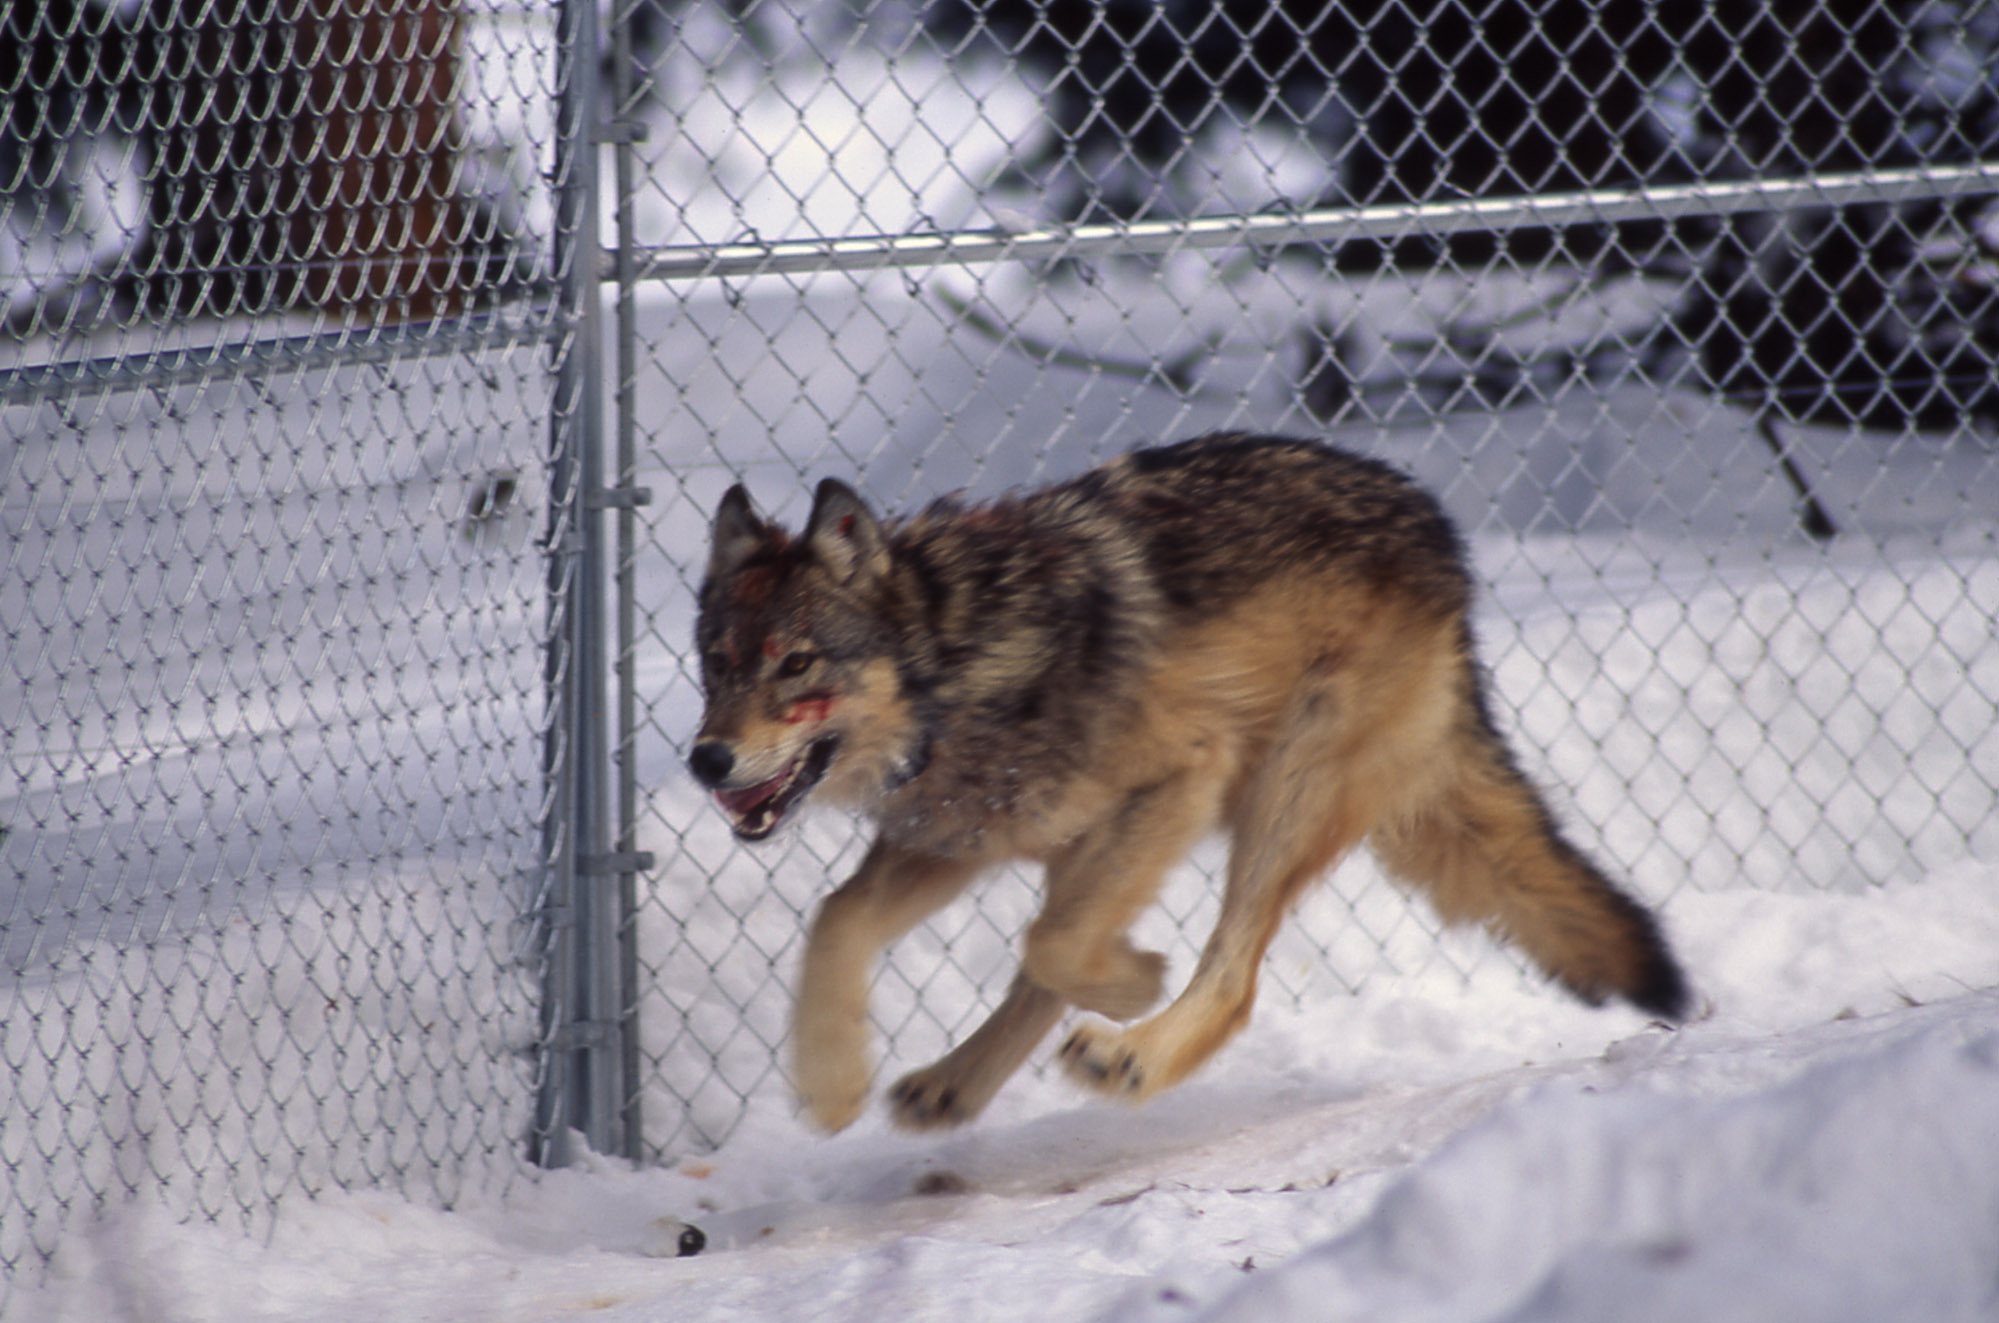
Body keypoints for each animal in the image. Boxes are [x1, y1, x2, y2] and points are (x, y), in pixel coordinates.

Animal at [687, 437, 1687, 1143]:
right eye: (716, 665)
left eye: (796, 664)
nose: (704, 760)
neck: (961, 659)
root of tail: (1433, 525)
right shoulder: (960, 835)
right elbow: (839, 921)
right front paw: (830, 1087)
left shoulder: (1183, 774)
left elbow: (1056, 945)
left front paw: (1136, 981)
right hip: (1124, 830)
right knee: (1049, 964)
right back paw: (955, 1084)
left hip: (1285, 786)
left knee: (1227, 976)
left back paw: (1128, 1052)